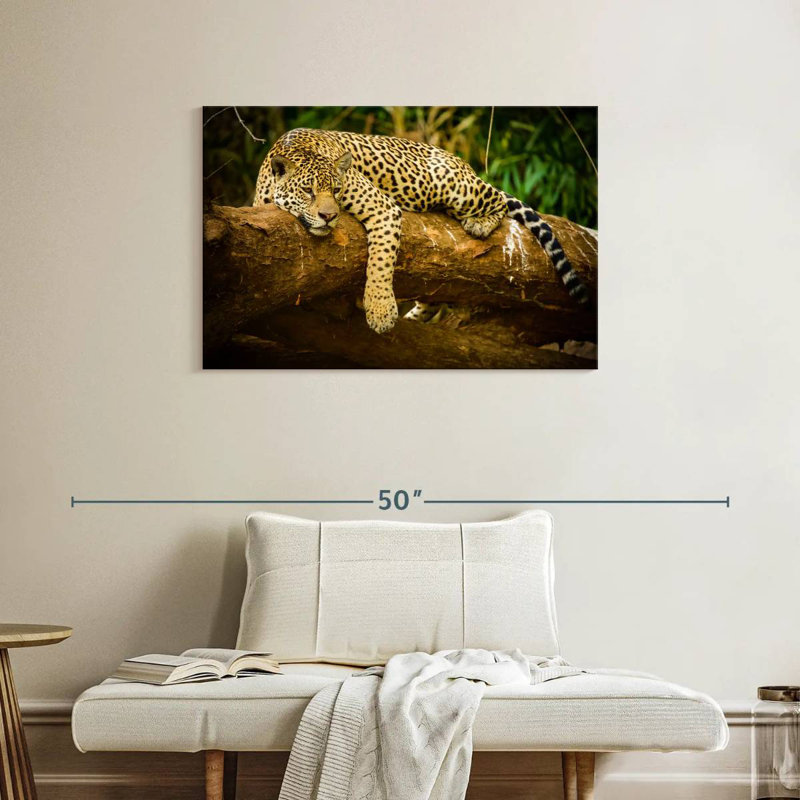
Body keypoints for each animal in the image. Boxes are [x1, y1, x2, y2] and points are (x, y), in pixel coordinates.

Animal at [253, 128, 590, 334]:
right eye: (308, 191)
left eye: (336, 190)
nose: (329, 215)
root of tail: (461, 162)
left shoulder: (383, 208)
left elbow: (380, 263)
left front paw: (380, 312)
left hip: (453, 185)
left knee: (497, 197)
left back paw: (479, 222)